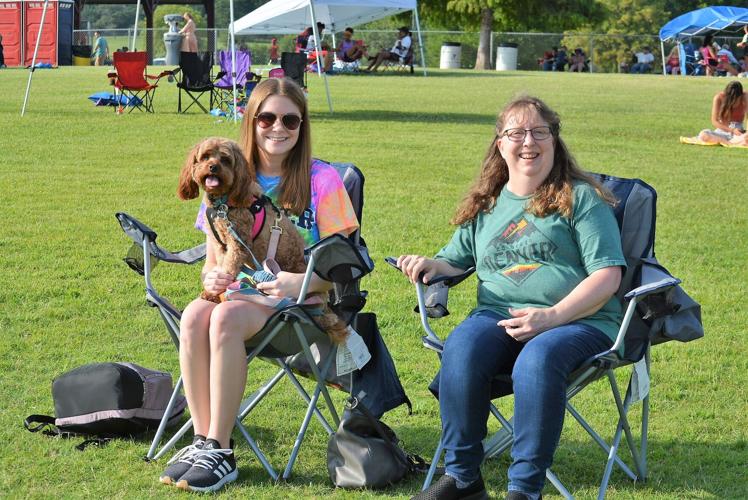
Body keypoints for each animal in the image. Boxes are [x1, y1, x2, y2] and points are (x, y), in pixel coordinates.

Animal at [178, 139, 348, 346]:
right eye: (205, 156)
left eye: (225, 160)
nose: (213, 167)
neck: (223, 203)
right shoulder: (220, 245)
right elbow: (221, 270)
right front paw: (213, 293)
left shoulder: (238, 244)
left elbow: (228, 270)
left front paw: (221, 294)